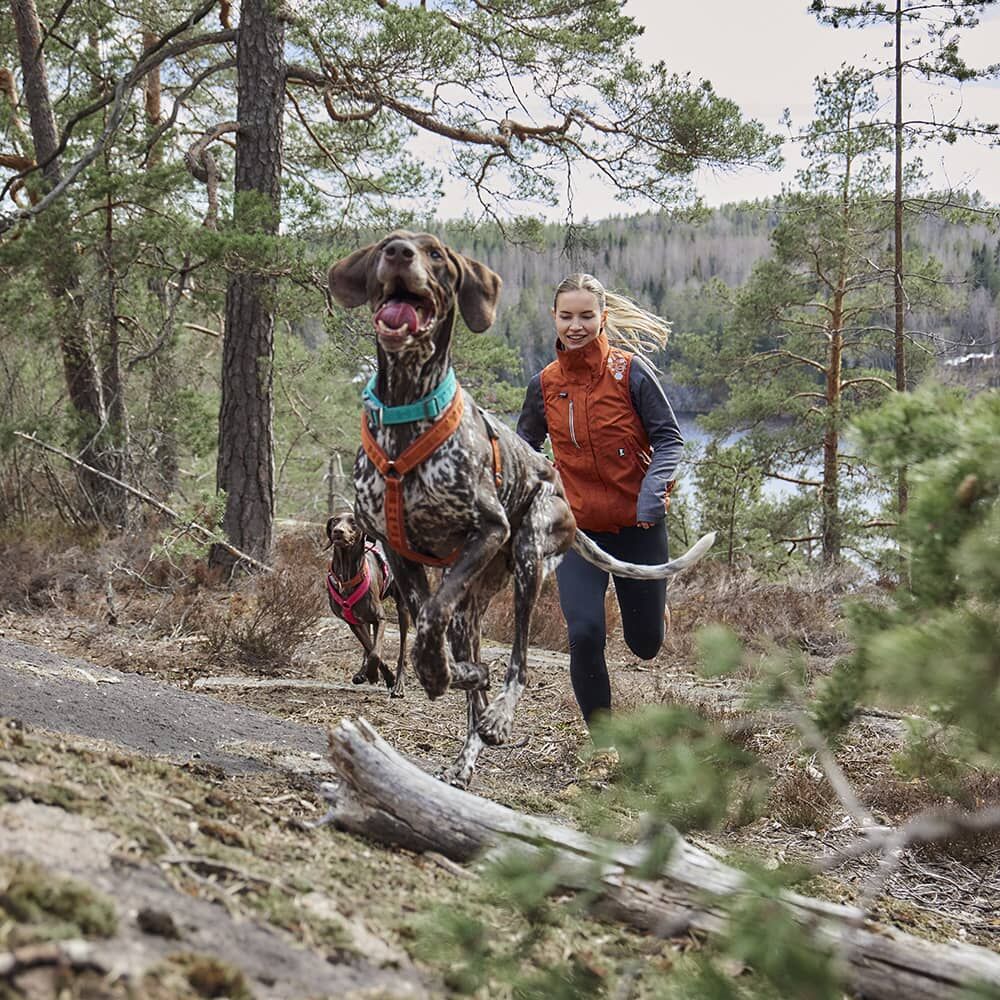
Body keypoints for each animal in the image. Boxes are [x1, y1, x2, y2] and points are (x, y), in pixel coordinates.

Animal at [326, 512, 408, 700]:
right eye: (335, 521)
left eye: (353, 523)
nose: (338, 531)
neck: (347, 576)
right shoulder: (353, 622)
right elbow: (370, 647)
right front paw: (376, 674)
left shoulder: (381, 618)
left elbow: (375, 653)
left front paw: (383, 677)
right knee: (369, 643)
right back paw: (363, 672)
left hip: (402, 609)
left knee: (402, 650)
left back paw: (398, 686)